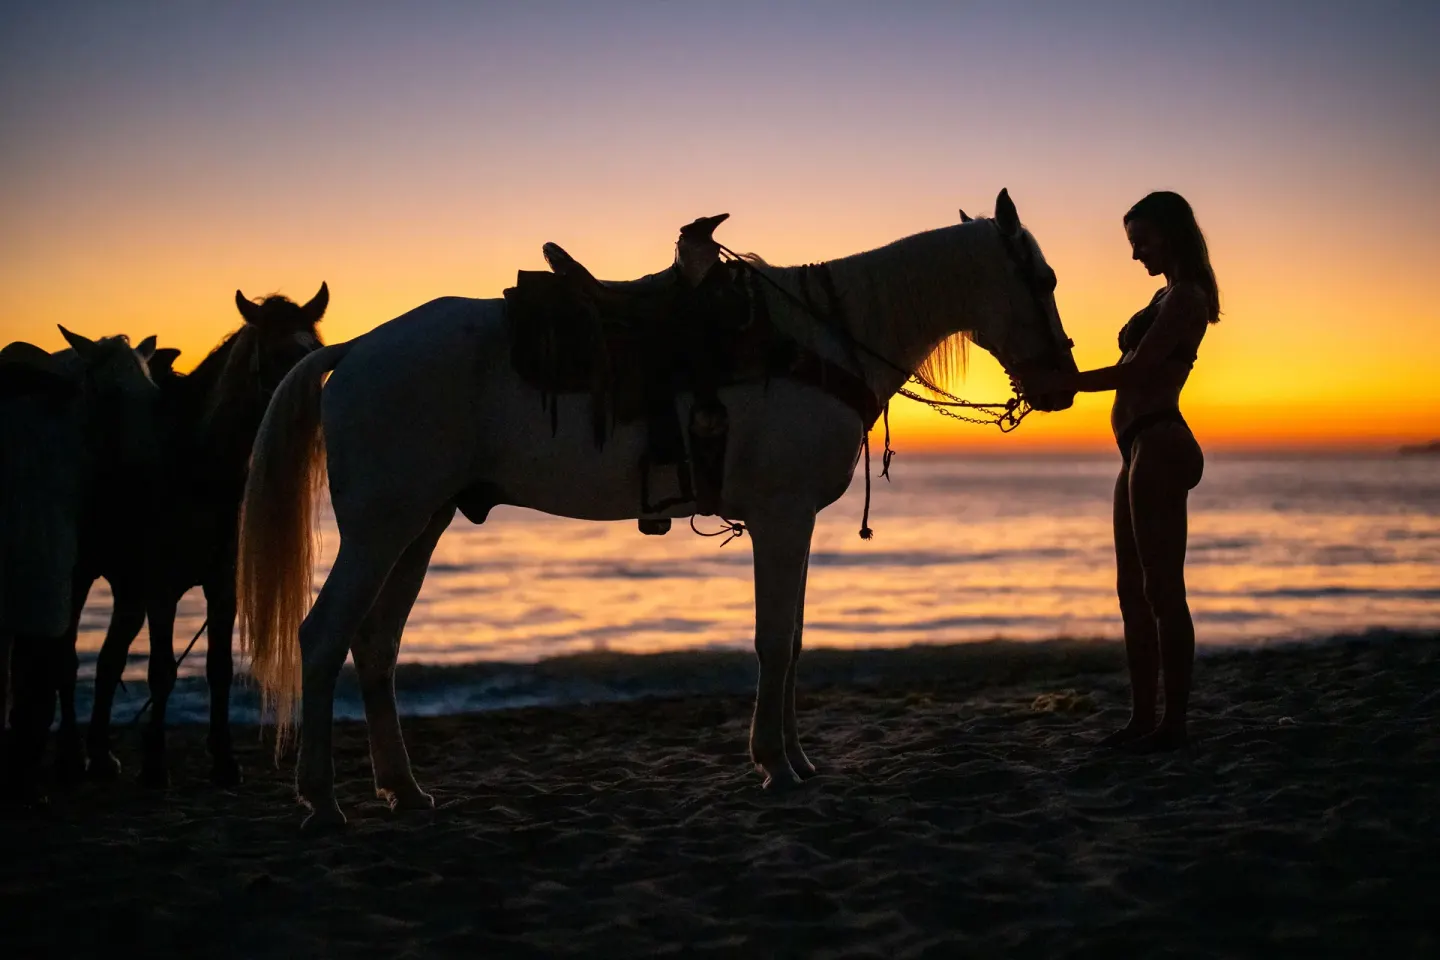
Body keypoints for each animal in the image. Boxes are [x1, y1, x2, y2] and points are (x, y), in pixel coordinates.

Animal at [0, 329, 160, 804]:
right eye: (109, 396)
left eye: (155, 396)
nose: (147, 480)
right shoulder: (64, 578)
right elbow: (61, 664)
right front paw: (69, 759)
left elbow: (103, 661)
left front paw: (95, 755)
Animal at [56, 285, 328, 788]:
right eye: (276, 354)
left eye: (315, 351)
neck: (197, 465)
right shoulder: (162, 590)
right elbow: (162, 672)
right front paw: (154, 766)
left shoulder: (221, 591)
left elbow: (218, 669)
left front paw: (223, 760)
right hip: (82, 575)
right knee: (66, 657)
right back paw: (70, 755)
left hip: (128, 588)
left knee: (108, 661)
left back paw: (101, 756)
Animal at [237, 190, 1078, 828]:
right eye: (1042, 277)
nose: (1064, 386)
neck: (821, 338)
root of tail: (355, 349)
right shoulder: (781, 517)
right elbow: (774, 642)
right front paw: (775, 765)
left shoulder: (794, 522)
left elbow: (794, 641)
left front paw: (799, 758)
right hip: (380, 530)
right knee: (323, 637)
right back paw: (321, 800)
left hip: (420, 525)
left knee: (375, 645)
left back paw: (405, 790)